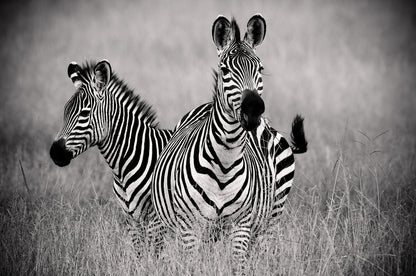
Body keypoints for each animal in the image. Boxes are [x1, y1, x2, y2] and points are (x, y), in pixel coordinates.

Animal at [151, 14, 308, 270]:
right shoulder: (190, 228)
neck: (224, 165)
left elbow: (239, 265)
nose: (253, 110)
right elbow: (193, 266)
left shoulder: (241, 226)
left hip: (272, 216)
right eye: (224, 70)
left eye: (260, 68)